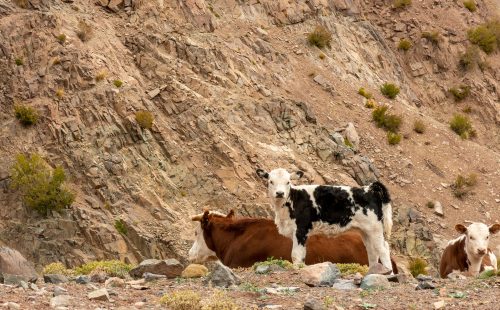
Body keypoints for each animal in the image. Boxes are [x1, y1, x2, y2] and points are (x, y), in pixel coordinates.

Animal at [258, 167, 394, 272]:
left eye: (288, 182)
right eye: (271, 181)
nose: (280, 193)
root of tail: (369, 190)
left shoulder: (301, 230)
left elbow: (296, 254)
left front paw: (297, 270)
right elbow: (301, 254)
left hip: (375, 229)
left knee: (383, 249)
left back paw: (389, 274)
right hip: (365, 231)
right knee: (372, 251)